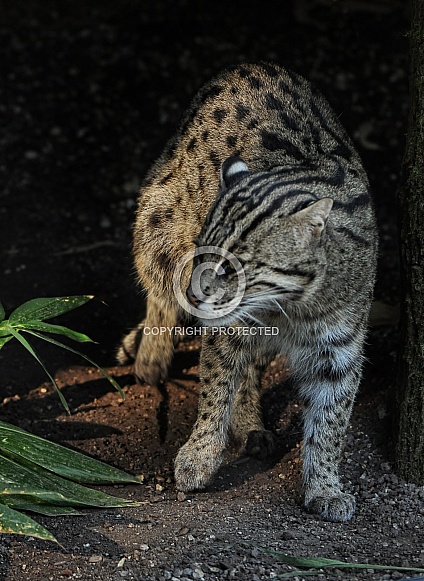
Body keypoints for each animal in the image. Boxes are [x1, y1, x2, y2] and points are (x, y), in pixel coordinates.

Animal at [117, 62, 378, 520]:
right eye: (203, 252)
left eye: (231, 266)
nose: (196, 294)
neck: (289, 306)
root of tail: (249, 65)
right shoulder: (227, 323)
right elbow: (214, 386)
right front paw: (200, 455)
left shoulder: (340, 345)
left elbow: (332, 420)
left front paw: (325, 485)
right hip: (157, 219)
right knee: (159, 292)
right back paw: (152, 355)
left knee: (253, 364)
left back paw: (251, 422)